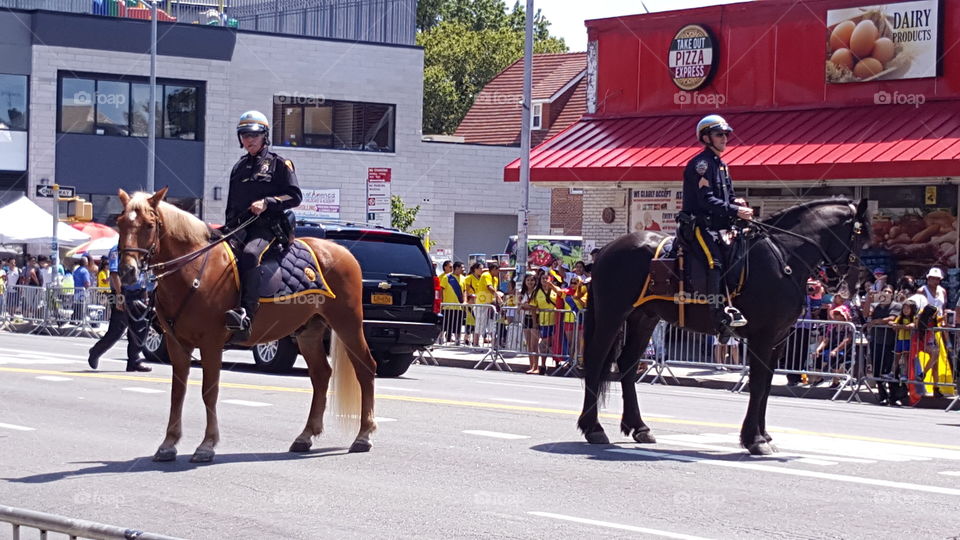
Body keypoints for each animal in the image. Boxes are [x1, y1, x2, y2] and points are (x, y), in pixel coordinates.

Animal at [116, 188, 378, 462]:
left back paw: (364, 435)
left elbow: (209, 391)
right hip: (309, 331)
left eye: (149, 225)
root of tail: (342, 251)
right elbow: (177, 392)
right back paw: (306, 436)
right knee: (321, 375)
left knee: (365, 369)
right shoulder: (177, 344)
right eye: (120, 222)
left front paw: (207, 445)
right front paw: (168, 444)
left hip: (347, 323)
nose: (127, 272)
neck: (193, 271)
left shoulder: (211, 344)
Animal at [576, 198, 872, 456]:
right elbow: (757, 385)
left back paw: (639, 427)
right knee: (596, 360)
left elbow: (765, 385)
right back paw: (594, 428)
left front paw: (763, 436)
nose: (852, 285)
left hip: (644, 318)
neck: (784, 257)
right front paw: (755, 440)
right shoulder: (763, 336)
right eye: (860, 236)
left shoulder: (779, 338)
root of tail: (607, 250)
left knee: (627, 363)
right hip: (612, 314)